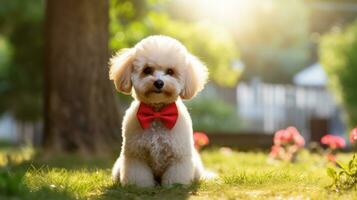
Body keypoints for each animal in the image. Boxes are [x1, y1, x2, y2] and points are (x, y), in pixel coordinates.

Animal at [110, 35, 210, 187]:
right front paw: (140, 187)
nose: (159, 83)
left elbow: (176, 178)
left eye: (170, 71)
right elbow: (139, 177)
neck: (157, 113)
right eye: (147, 70)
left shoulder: (178, 157)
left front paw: (174, 186)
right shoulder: (136, 156)